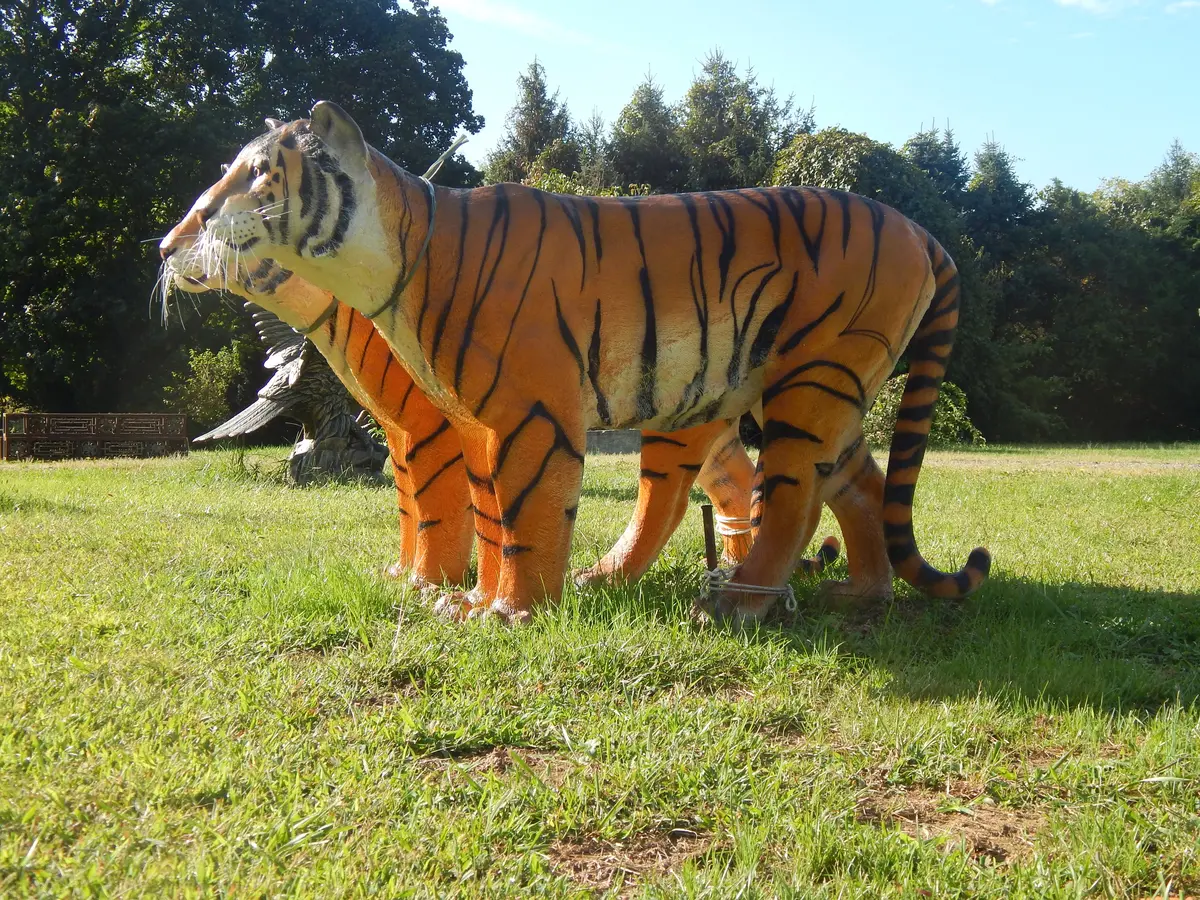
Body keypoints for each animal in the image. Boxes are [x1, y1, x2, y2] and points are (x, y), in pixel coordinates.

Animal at [168, 249, 838, 602]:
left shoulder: (434, 427)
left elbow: (442, 505)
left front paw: (437, 584)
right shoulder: (401, 431)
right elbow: (414, 504)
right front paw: (411, 577)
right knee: (731, 484)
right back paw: (733, 568)